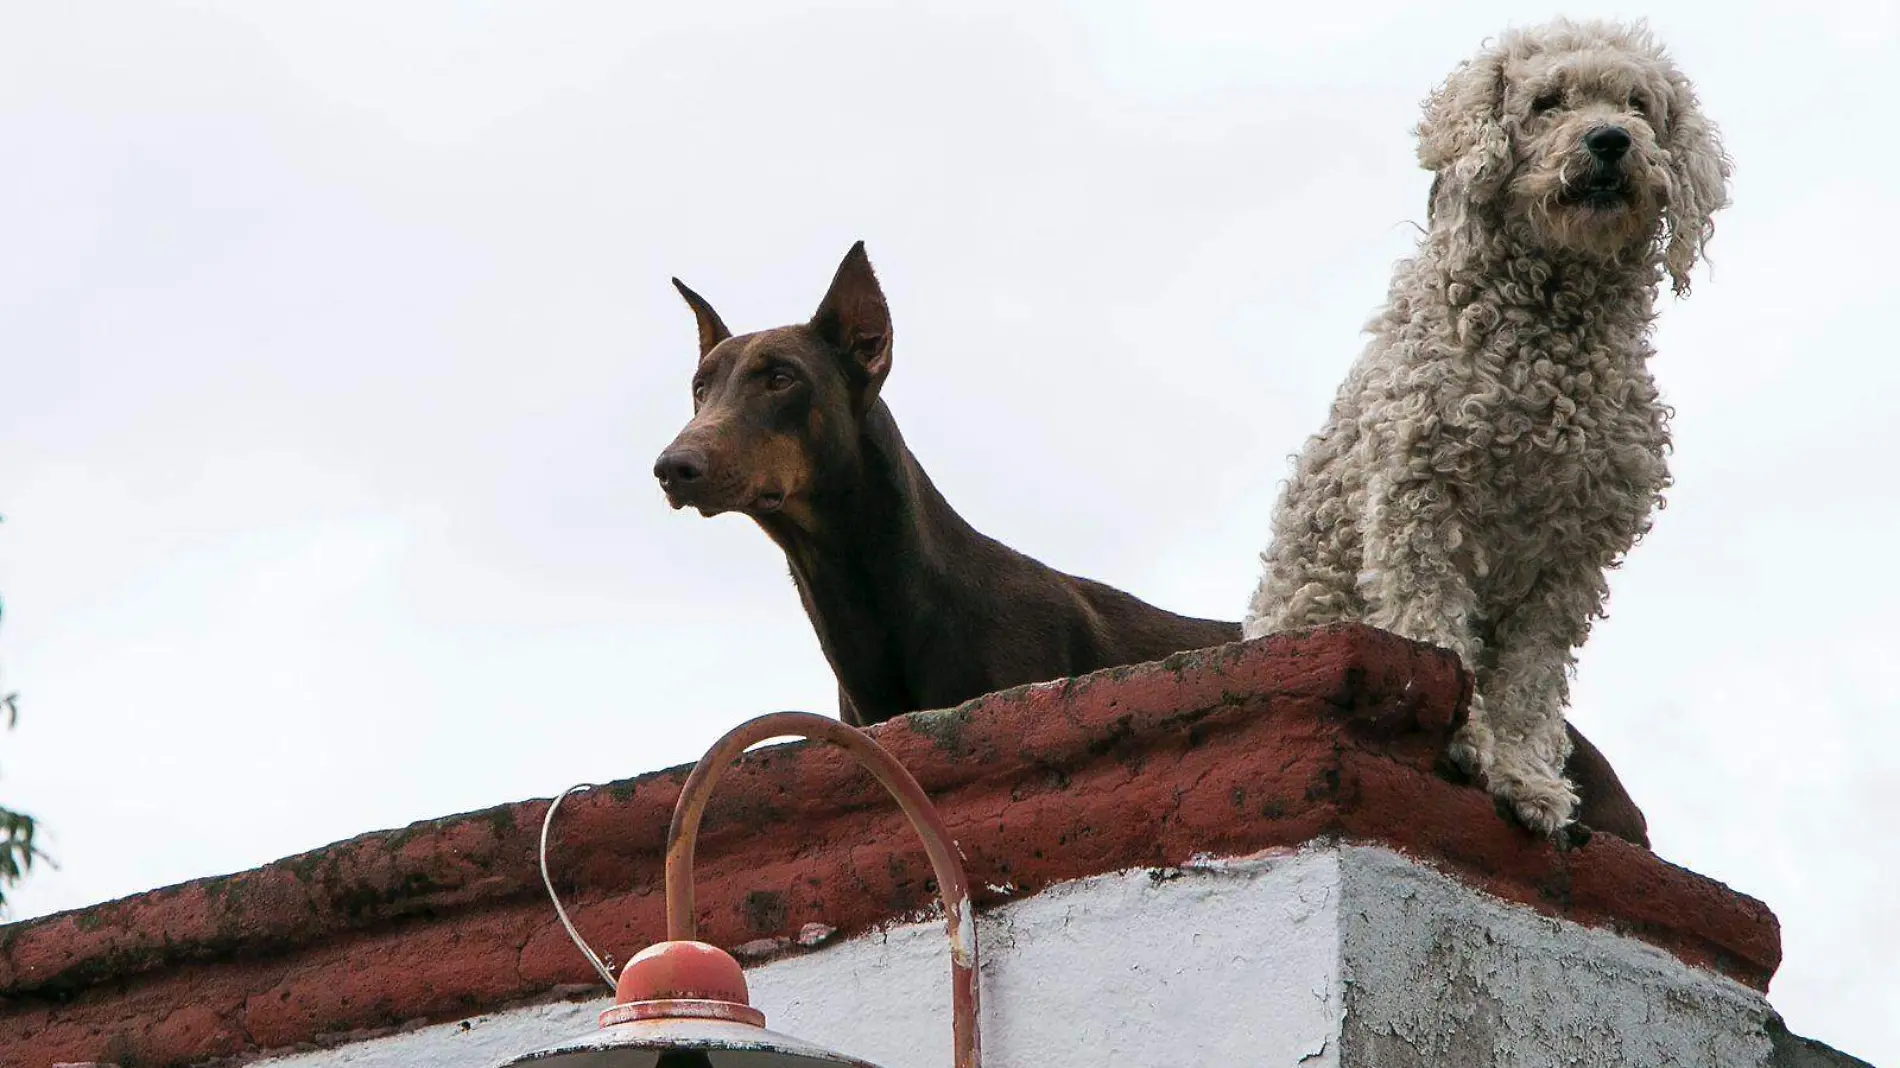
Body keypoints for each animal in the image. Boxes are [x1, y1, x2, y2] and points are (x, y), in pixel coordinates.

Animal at [1238, 16, 1732, 832]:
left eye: (1639, 105)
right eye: (1547, 101)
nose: (1609, 140)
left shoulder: (1571, 557)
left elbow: (1529, 678)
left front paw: (1527, 778)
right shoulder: (1418, 500)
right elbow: (1435, 629)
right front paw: (1466, 739)